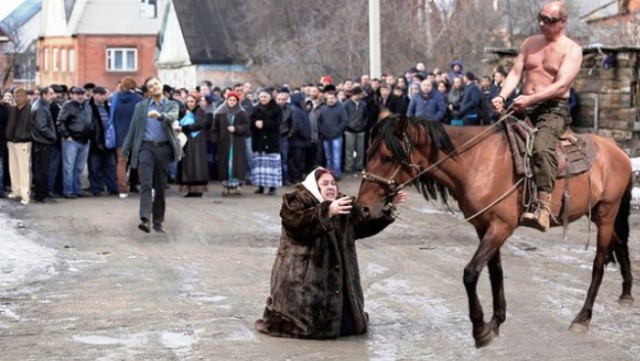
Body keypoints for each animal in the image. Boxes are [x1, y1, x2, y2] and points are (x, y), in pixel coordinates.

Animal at [358, 114, 632, 346]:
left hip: (606, 214)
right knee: (620, 244)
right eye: (368, 153)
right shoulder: (485, 227)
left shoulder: (501, 227)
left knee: (599, 263)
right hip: (598, 214)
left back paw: (582, 317)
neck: (476, 162)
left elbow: (471, 273)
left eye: (388, 157)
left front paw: (480, 329)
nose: (363, 208)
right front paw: (496, 322)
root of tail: (619, 151)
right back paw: (626, 293)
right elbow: (495, 272)